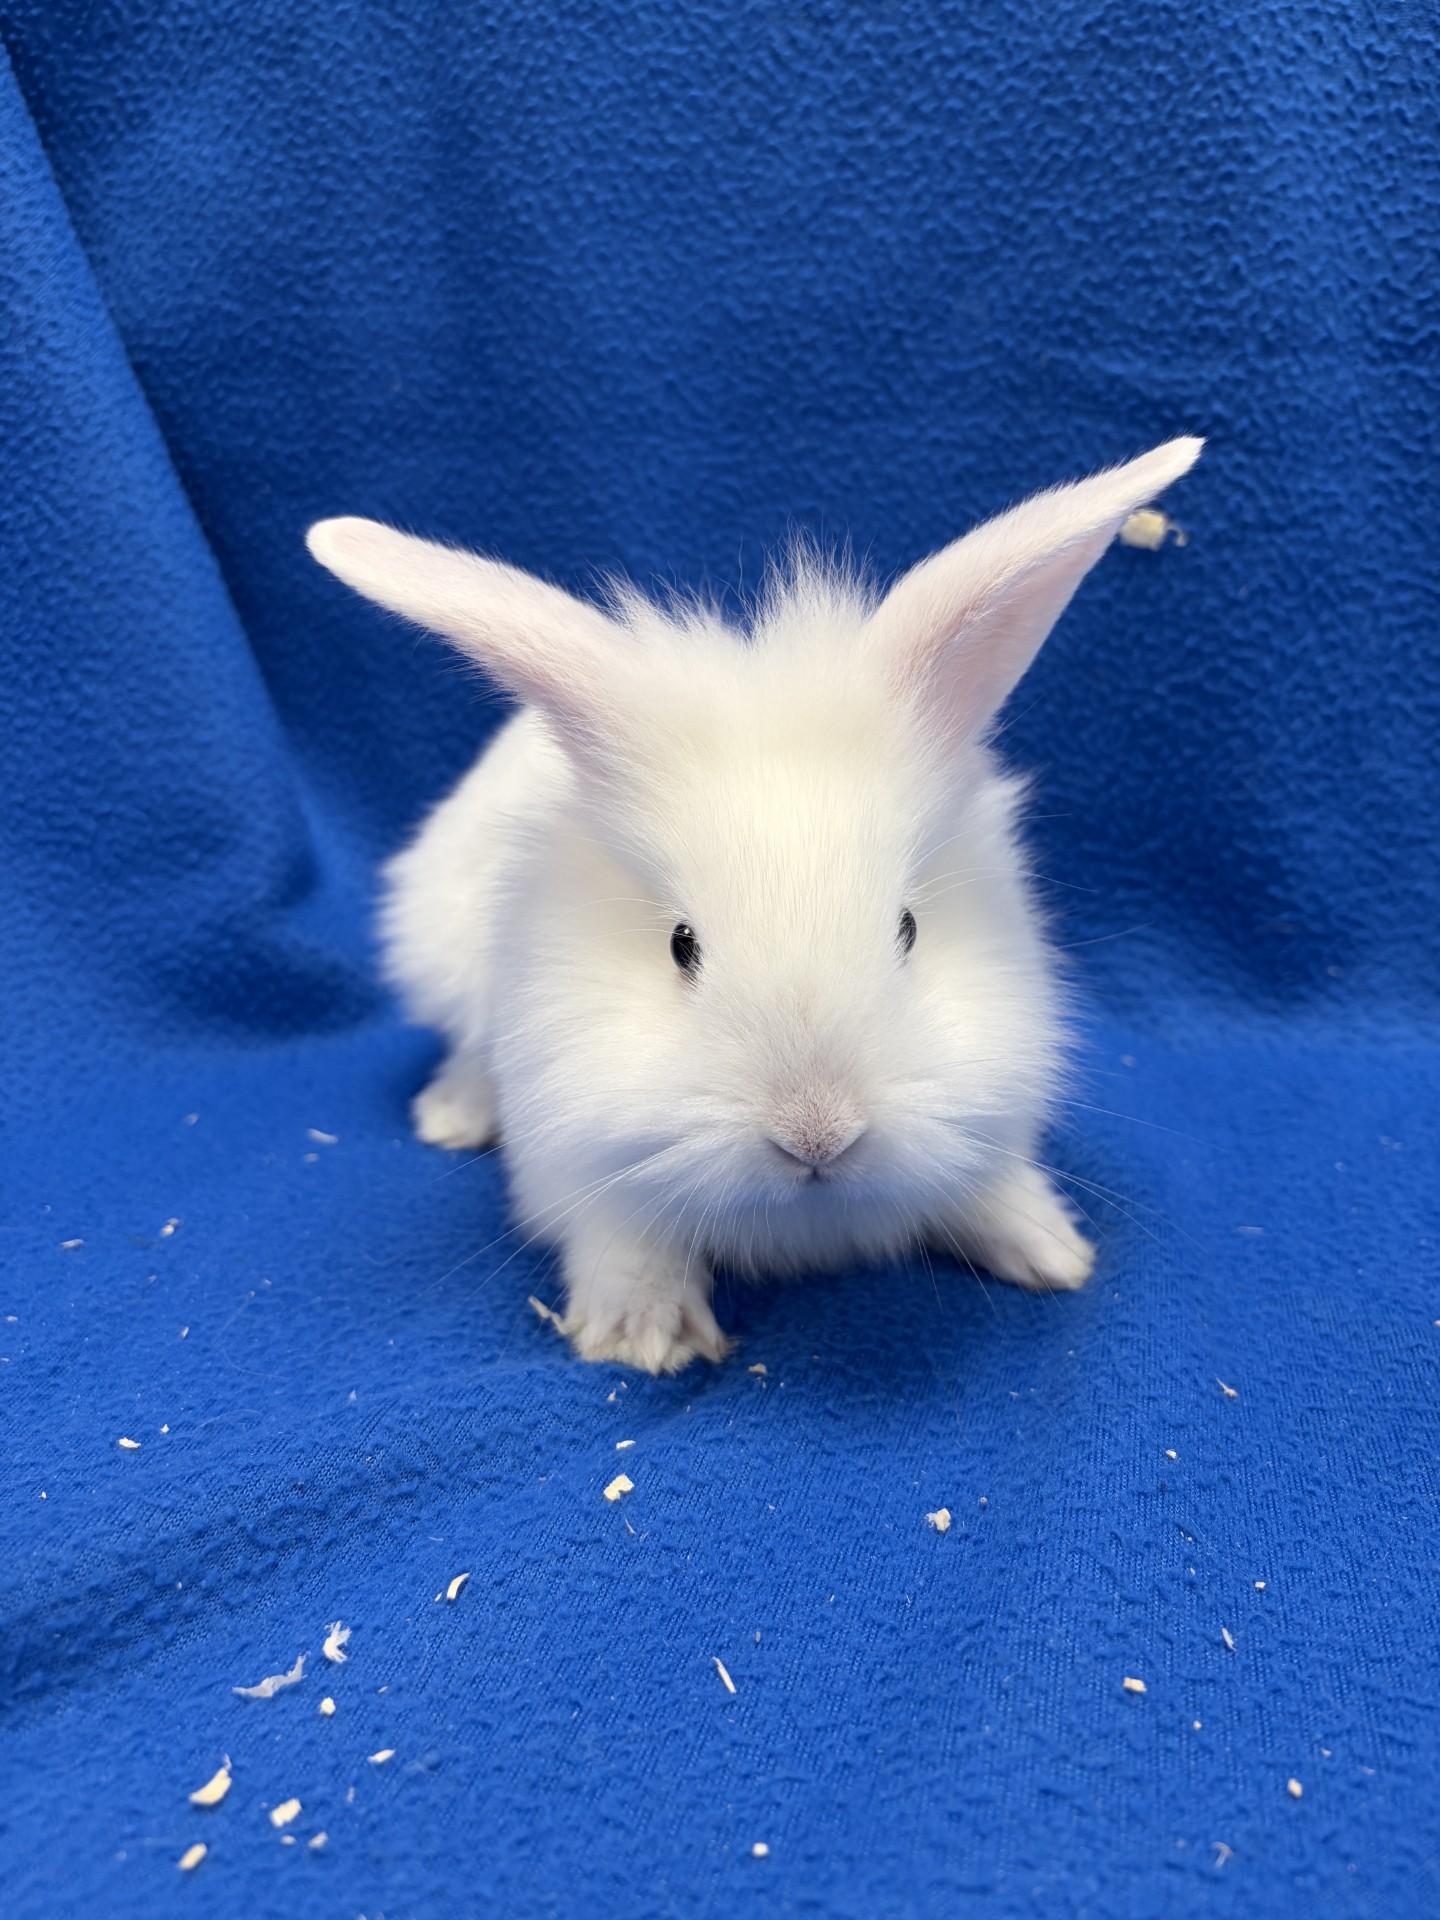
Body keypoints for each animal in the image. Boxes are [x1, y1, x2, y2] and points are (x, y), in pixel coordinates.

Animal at [307, 435, 1201, 1373]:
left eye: (909, 929)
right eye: (681, 945)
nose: (818, 1135)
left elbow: (990, 1184)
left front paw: (1052, 1251)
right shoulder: (578, 1161)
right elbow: (623, 1242)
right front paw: (643, 1335)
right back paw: (451, 1117)